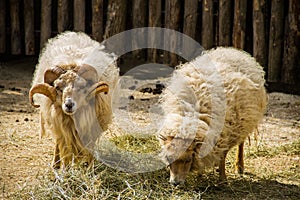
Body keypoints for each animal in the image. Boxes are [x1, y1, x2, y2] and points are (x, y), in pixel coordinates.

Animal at [29, 31, 118, 169]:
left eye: (82, 86)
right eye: (57, 87)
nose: (69, 105)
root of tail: (72, 34)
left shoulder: (91, 129)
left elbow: (90, 151)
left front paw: (90, 169)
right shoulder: (62, 130)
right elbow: (64, 150)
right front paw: (65, 170)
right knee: (57, 143)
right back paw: (55, 164)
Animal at [158, 46, 266, 185]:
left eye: (188, 160)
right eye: (168, 158)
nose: (175, 183)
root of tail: (232, 50)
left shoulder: (226, 133)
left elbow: (222, 156)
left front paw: (223, 178)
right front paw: (201, 174)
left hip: (244, 121)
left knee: (241, 143)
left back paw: (239, 166)